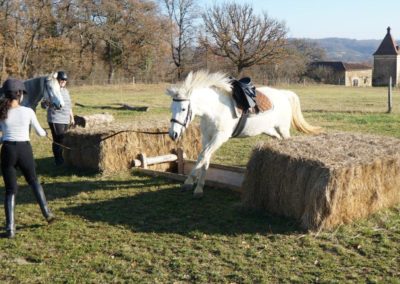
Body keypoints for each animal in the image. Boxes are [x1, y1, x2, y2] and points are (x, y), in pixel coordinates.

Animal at [166, 70, 322, 197]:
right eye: (171, 108)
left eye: (183, 109)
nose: (173, 134)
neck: (213, 110)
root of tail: (283, 94)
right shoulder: (207, 138)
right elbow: (205, 159)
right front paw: (199, 188)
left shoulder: (219, 137)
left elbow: (202, 157)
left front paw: (189, 181)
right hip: (270, 130)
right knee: (277, 140)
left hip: (282, 129)